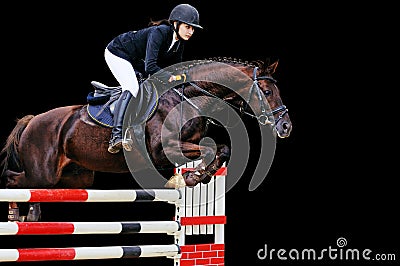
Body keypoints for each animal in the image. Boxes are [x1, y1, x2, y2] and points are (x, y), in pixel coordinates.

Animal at [1, 57, 292, 221]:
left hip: (76, 179)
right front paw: (190, 178)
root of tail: (32, 120)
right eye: (267, 91)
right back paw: (16, 213)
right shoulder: (162, 151)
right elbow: (214, 150)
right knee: (15, 180)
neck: (187, 98)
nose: (286, 126)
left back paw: (29, 214)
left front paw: (196, 176)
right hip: (44, 172)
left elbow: (222, 149)